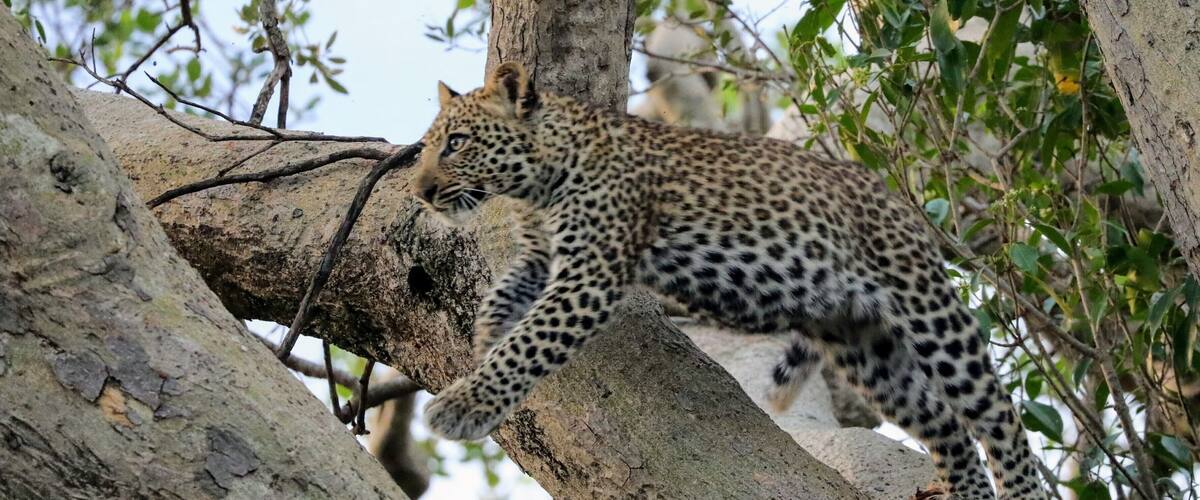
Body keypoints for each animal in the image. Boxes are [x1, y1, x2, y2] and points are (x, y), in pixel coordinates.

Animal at [410, 62, 1046, 500]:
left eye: (457, 143)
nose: (419, 191)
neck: (536, 182)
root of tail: (893, 195)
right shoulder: (543, 260)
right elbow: (502, 304)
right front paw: (482, 348)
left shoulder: (590, 273)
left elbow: (532, 341)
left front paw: (463, 404)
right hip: (867, 348)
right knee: (947, 427)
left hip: (928, 312)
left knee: (997, 415)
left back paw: (1020, 489)